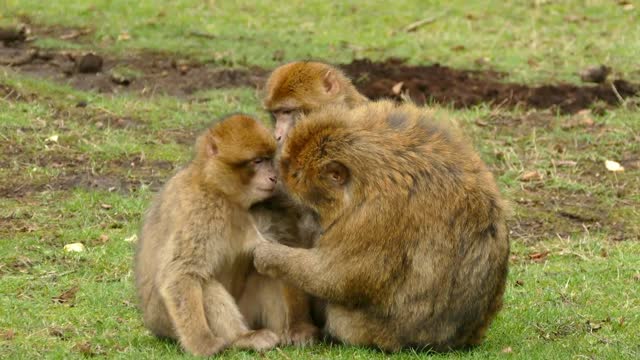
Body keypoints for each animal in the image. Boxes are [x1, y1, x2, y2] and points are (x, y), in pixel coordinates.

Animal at [136, 114, 316, 356]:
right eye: (257, 161)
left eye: (269, 159)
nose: (273, 177)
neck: (219, 190)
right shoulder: (200, 210)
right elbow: (181, 274)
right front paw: (202, 344)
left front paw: (300, 327)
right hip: (166, 322)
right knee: (204, 284)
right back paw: (242, 338)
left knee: (266, 265)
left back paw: (287, 331)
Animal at [254, 100, 510, 352]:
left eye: (297, 176)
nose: (279, 180)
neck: (367, 177)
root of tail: (461, 340)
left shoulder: (375, 215)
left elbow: (336, 277)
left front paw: (269, 255)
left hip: (377, 330)